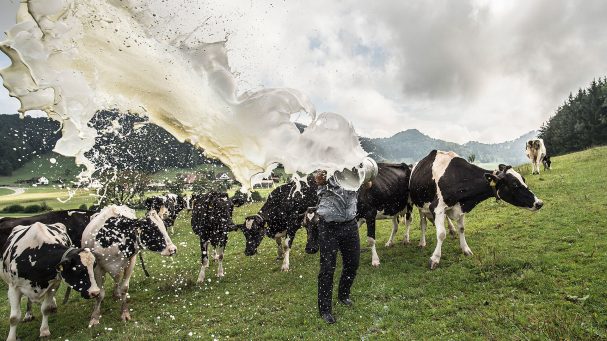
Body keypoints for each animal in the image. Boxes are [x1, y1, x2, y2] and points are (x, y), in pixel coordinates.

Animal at [408, 150, 548, 270]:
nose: (539, 203)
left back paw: (452, 229)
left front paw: (465, 249)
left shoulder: (461, 206)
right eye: (514, 184)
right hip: (420, 205)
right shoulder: (437, 207)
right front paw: (435, 259)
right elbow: (441, 234)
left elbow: (462, 228)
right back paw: (422, 243)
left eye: (523, 179)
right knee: (423, 224)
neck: (457, 177)